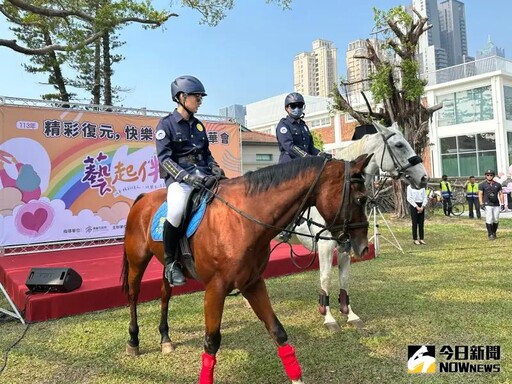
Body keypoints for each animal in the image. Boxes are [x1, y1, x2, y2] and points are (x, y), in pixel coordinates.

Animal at [122, 154, 374, 384]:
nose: (363, 247)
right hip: (137, 261)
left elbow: (277, 331)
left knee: (165, 295)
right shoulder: (215, 289)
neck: (242, 221)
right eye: (361, 199)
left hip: (167, 266)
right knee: (133, 295)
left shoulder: (252, 283)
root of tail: (144, 198)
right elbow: (211, 342)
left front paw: (296, 378)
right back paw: (133, 341)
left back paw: (165, 337)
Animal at [292, 121, 428, 332]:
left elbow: (344, 278)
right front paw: (329, 318)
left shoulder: (346, 244)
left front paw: (350, 314)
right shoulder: (325, 245)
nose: (423, 177)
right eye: (399, 145)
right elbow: (326, 278)